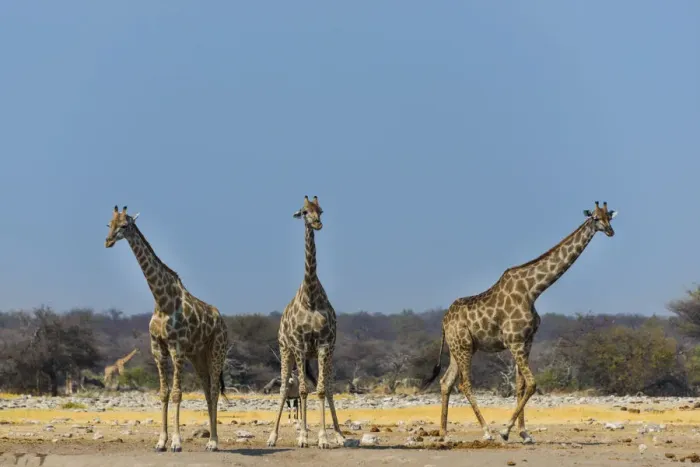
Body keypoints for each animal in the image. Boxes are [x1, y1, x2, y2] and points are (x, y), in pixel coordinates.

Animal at [105, 205, 229, 452]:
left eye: (125, 225)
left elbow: (178, 394)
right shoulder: (157, 348)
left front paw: (177, 442)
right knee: (207, 390)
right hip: (198, 356)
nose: (108, 241)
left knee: (213, 390)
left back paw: (213, 442)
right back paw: (210, 439)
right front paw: (161, 442)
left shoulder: (176, 348)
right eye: (109, 224)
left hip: (217, 350)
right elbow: (163, 393)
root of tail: (221, 320)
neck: (162, 301)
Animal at [267, 196, 346, 449]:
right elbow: (301, 391)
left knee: (327, 388)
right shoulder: (300, 346)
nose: (317, 223)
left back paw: (339, 435)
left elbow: (320, 390)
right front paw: (302, 437)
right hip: (286, 351)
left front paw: (323, 438)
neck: (310, 297)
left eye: (320, 210)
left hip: (323, 355)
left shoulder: (324, 345)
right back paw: (274, 437)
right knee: (284, 389)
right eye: (303, 212)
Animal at [421, 201, 618, 443]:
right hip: (463, 347)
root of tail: (444, 322)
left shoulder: (527, 341)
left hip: (459, 348)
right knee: (464, 383)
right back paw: (486, 431)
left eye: (609, 217)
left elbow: (521, 385)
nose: (610, 231)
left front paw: (524, 433)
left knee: (446, 382)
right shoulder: (514, 341)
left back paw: (444, 432)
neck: (533, 290)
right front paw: (505, 431)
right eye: (595, 218)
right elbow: (532, 383)